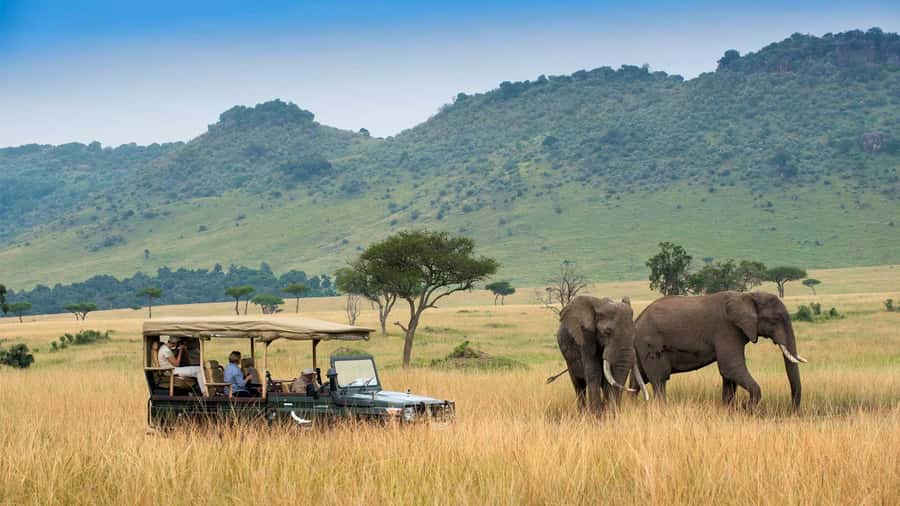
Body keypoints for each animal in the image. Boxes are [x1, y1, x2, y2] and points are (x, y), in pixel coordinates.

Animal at [631, 291, 807, 410]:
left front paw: (729, 410)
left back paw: (629, 405)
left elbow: (729, 375)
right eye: (775, 320)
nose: (792, 411)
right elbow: (731, 368)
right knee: (659, 379)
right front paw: (747, 408)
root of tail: (637, 319)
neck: (747, 296)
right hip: (650, 342)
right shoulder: (727, 329)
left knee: (638, 381)